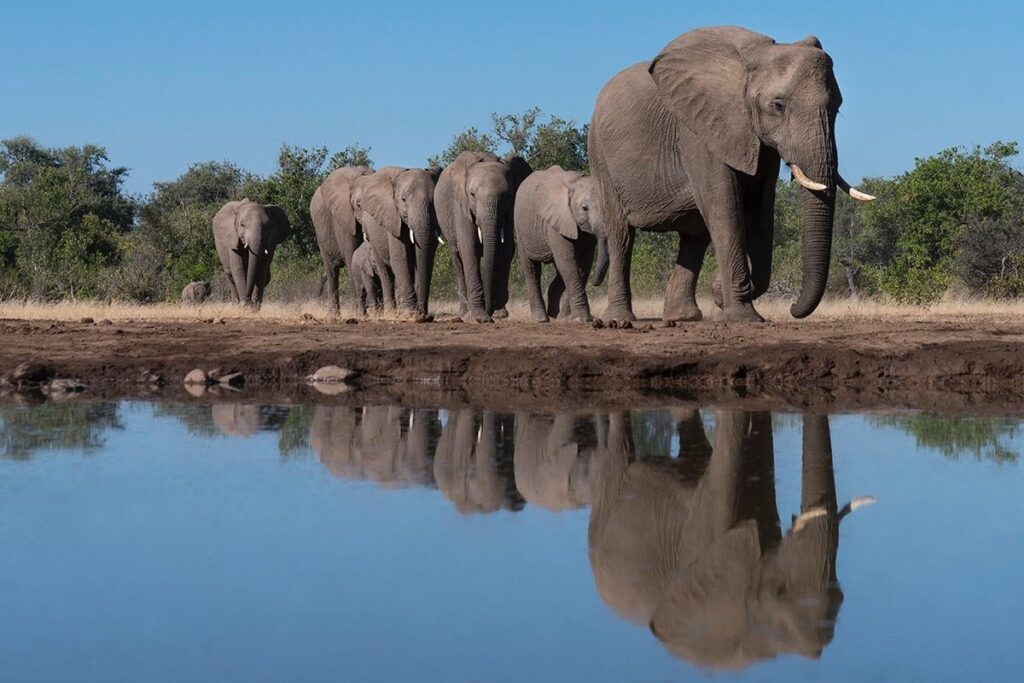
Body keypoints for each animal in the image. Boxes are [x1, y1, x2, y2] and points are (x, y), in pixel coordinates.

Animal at [311, 166, 374, 314]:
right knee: (332, 272)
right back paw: (334, 315)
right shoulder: (341, 217)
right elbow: (351, 256)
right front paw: (359, 312)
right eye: (358, 205)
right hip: (320, 233)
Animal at [353, 167, 442, 316]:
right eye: (403, 200)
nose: (423, 312)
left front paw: (418, 313)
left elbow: (427, 258)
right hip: (372, 238)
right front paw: (410, 313)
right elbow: (400, 259)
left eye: (434, 200)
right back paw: (390, 312)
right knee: (385, 273)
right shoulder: (392, 219)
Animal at [435, 151, 532, 322]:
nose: (489, 312)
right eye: (472, 195)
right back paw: (464, 313)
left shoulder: (509, 211)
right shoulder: (461, 205)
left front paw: (499, 313)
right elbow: (469, 248)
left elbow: (506, 250)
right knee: (458, 260)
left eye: (508, 195)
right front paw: (480, 317)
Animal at [513, 167, 609, 322]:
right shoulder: (557, 220)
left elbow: (583, 266)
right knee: (532, 269)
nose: (595, 283)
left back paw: (554, 316)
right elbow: (567, 262)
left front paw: (567, 318)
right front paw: (581, 319)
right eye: (585, 208)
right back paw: (541, 318)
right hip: (521, 228)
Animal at [588, 26, 875, 324]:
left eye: (837, 107)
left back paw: (684, 317)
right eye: (778, 105)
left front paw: (722, 298)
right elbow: (725, 206)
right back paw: (620, 319)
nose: (794, 308)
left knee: (694, 237)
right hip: (600, 155)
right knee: (621, 235)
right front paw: (741, 317)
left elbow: (760, 211)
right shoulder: (698, 131)